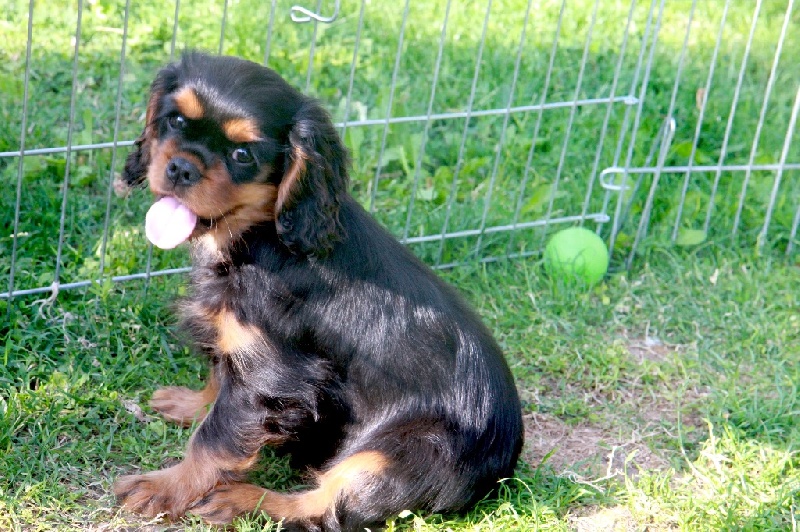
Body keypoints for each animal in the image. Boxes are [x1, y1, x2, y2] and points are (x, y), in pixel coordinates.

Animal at [114, 52, 523, 531]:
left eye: (242, 155)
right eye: (175, 120)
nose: (181, 168)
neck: (262, 236)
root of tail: (504, 467)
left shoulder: (272, 372)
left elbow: (217, 437)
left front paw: (167, 487)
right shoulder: (240, 349)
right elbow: (219, 384)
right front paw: (190, 405)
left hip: (400, 451)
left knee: (327, 507)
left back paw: (243, 501)